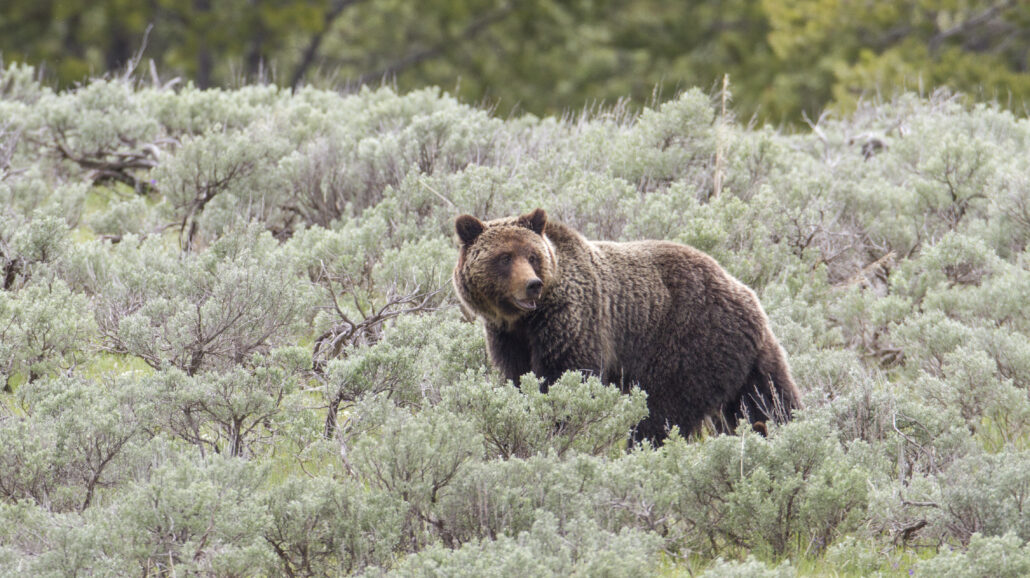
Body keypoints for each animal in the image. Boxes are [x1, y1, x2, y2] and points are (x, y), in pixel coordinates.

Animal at [452, 208, 802, 442]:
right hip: (747, 358)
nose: (532, 285)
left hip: (689, 342)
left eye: (532, 255)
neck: (525, 320)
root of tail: (747, 295)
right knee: (768, 399)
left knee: (663, 410)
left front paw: (560, 425)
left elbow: (566, 377)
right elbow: (518, 378)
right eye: (504, 257)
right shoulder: (508, 338)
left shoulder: (573, 321)